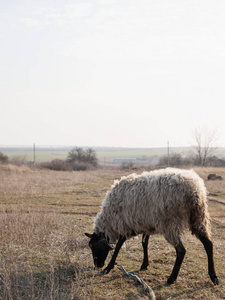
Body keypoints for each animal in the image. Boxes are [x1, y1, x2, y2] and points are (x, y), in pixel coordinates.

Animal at [85, 168, 219, 284]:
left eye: (94, 247)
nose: (97, 265)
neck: (110, 221)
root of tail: (194, 191)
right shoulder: (145, 224)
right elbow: (144, 243)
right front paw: (144, 264)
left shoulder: (126, 224)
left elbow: (118, 246)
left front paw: (108, 267)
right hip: (198, 218)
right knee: (208, 244)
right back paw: (213, 277)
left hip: (171, 223)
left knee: (181, 250)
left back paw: (171, 279)